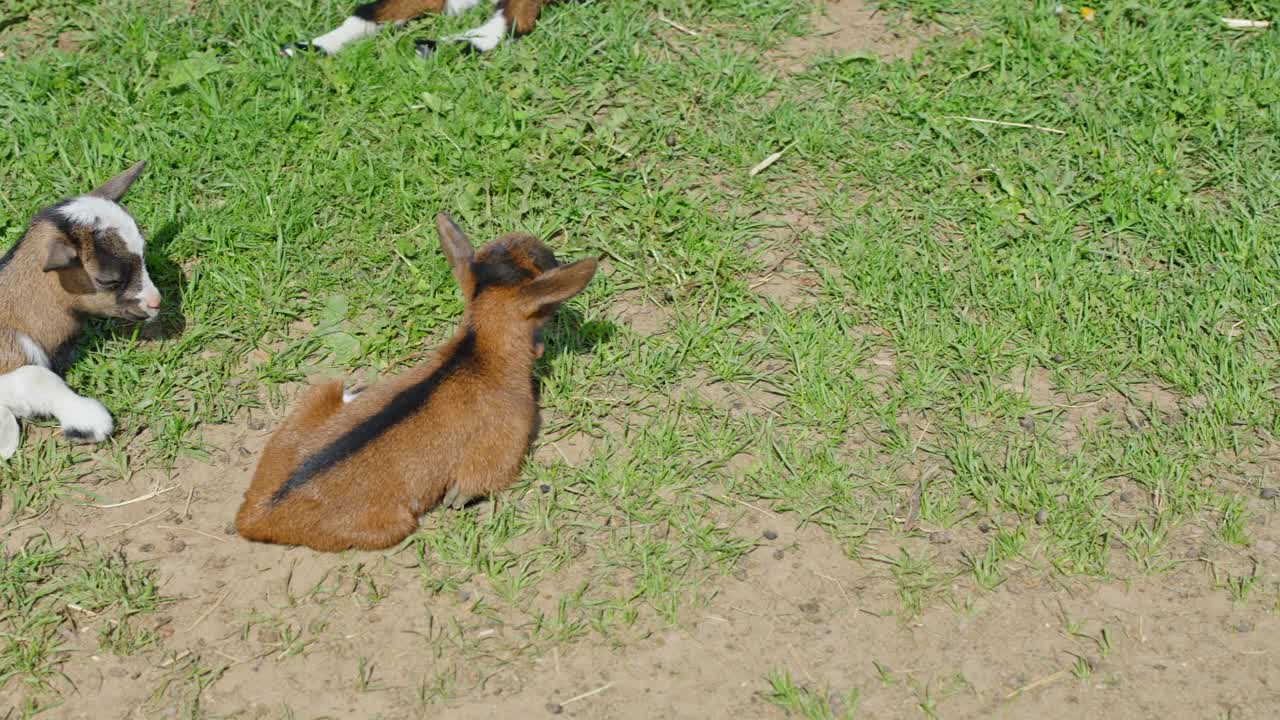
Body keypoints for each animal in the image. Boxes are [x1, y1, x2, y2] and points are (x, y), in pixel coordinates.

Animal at [235, 213, 598, 551]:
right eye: (539, 263)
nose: (545, 247)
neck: (478, 354)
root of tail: (253, 517)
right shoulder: (509, 434)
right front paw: (458, 498)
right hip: (390, 526)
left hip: (316, 397)